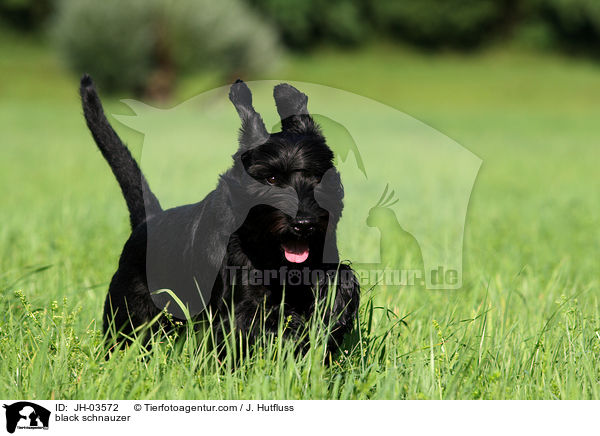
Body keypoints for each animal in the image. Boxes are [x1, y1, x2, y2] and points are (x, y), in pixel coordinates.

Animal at [79, 75, 360, 352]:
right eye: (270, 178)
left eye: (318, 177)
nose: (304, 224)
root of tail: (147, 221)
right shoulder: (237, 306)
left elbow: (340, 278)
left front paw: (334, 309)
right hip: (128, 315)